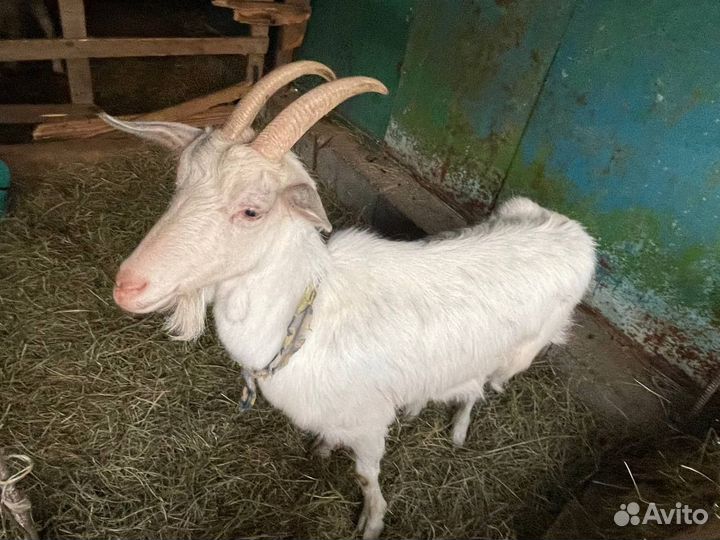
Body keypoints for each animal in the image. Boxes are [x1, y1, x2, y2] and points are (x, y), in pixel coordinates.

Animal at [103, 61, 596, 539]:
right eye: (178, 183)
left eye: (252, 210)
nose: (128, 286)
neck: (307, 317)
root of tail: (577, 233)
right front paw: (324, 447)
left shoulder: (369, 422)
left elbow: (365, 474)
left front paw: (372, 521)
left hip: (518, 355)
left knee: (480, 387)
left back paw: (457, 430)